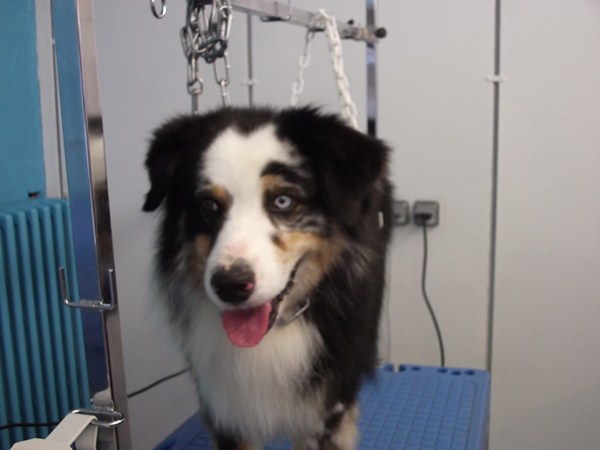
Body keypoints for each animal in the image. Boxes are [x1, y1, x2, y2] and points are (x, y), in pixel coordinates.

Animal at [143, 107, 392, 450]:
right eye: (208, 205)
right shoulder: (225, 408)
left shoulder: (326, 408)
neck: (276, 331)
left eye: (283, 201)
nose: (231, 286)